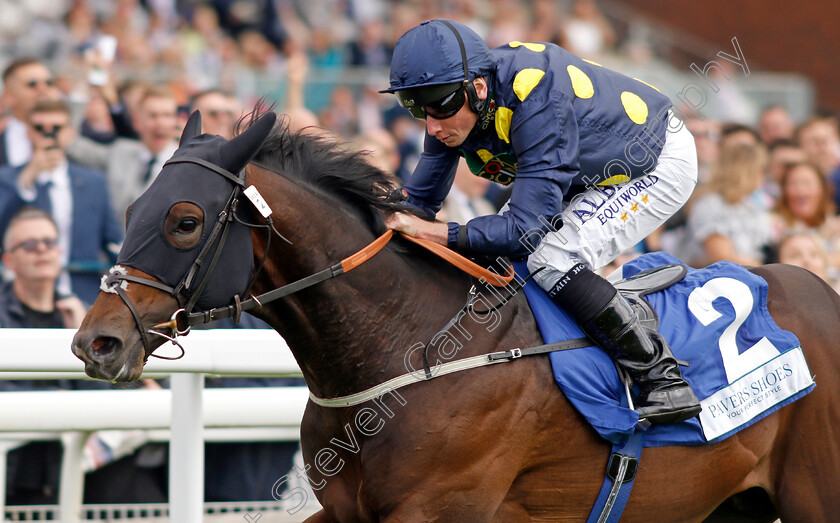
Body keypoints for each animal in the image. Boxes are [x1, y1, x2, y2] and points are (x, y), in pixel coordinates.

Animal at [72, 112, 840, 520]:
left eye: (184, 220)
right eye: (132, 207)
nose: (95, 342)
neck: (409, 348)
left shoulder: (439, 506)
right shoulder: (347, 508)